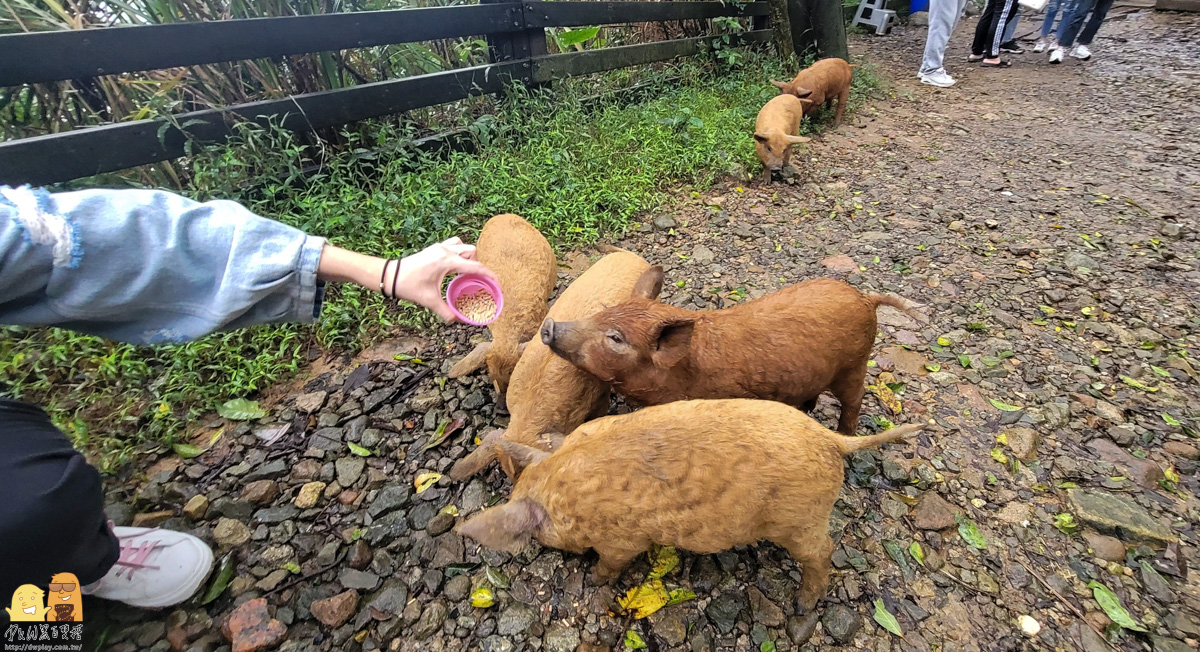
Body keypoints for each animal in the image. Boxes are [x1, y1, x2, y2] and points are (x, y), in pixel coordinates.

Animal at [456, 401, 916, 609]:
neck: (560, 484)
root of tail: (831, 439)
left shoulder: (623, 539)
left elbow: (612, 563)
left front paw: (595, 580)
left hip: (800, 519)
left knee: (824, 552)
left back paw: (803, 603)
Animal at [540, 267, 921, 437]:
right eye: (602, 312)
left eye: (615, 338)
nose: (550, 326)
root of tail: (866, 298)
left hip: (854, 365)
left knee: (855, 399)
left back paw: (845, 434)